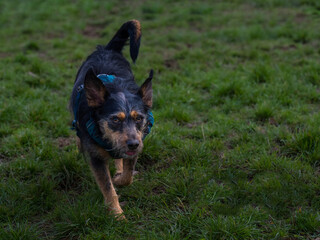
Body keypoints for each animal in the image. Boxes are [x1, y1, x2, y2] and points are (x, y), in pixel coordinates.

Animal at [69, 20, 154, 219]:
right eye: (115, 119)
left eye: (139, 118)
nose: (133, 144)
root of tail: (106, 49)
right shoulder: (96, 158)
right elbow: (107, 188)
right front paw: (117, 215)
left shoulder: (136, 143)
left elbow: (128, 176)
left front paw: (120, 178)